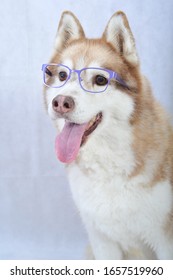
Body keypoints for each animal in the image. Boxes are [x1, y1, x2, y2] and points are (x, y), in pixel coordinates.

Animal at [42, 10, 173, 260]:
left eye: (100, 80)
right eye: (63, 75)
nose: (61, 103)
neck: (109, 167)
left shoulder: (164, 241)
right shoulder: (102, 240)